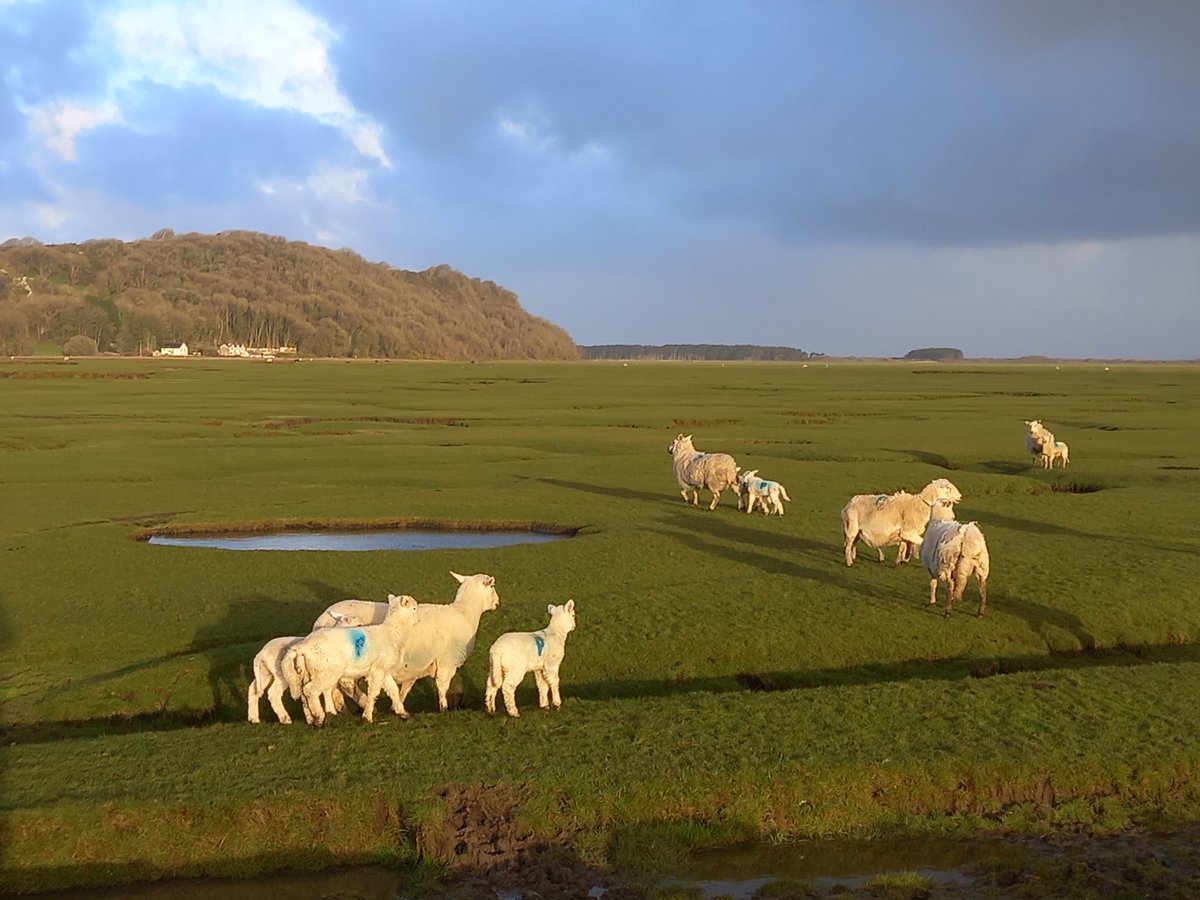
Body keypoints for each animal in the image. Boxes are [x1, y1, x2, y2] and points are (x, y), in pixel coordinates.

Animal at [282, 594, 419, 726]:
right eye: (414, 608)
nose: (418, 620)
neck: (392, 633)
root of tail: (302, 647)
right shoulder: (377, 670)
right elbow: (374, 692)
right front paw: (367, 716)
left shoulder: (383, 669)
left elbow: (393, 690)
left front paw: (402, 712)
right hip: (325, 673)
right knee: (311, 690)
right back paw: (319, 717)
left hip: (307, 672)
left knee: (304, 694)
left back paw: (312, 718)